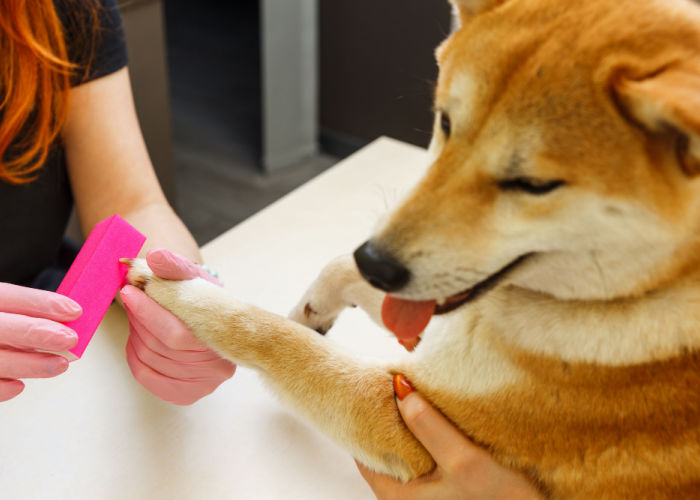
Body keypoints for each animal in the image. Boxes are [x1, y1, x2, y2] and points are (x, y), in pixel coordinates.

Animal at [124, 0, 700, 496]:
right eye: (445, 122)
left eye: (533, 185)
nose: (376, 262)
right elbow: (339, 276)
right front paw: (312, 310)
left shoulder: (401, 420)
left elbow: (271, 337)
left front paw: (185, 293)